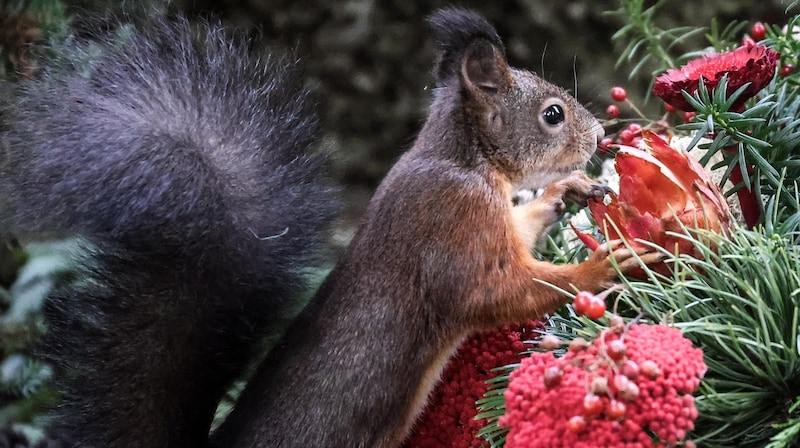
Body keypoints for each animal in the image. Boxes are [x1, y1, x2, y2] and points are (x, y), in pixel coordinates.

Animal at [0, 6, 656, 448]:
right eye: (553, 115)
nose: (597, 138)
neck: (462, 161)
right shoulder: (450, 225)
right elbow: (497, 291)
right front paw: (603, 264)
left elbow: (524, 225)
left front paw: (568, 191)